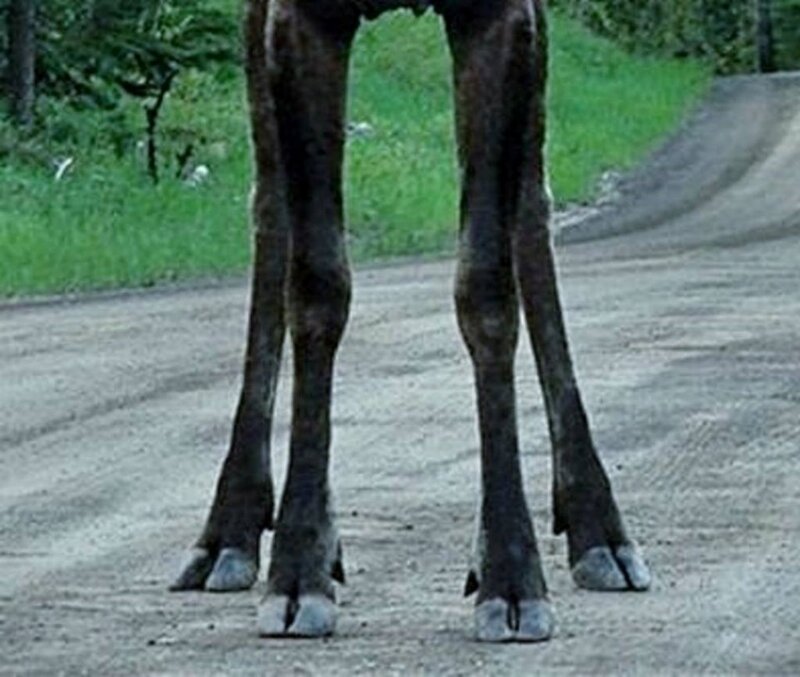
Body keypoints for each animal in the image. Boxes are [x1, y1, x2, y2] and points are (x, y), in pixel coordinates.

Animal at [171, 0, 651, 643]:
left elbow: (487, 284)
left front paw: (511, 579)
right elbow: (317, 280)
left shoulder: (500, 15)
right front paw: (297, 573)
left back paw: (600, 530)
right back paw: (230, 533)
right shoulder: (301, 16)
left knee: (532, 203)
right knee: (270, 204)